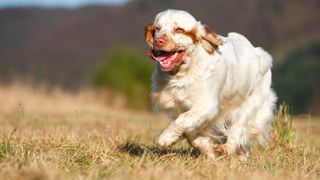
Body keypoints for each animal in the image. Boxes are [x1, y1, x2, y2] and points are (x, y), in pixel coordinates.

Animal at [144, 9, 276, 159]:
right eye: (157, 29)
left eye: (179, 29)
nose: (158, 41)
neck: (183, 73)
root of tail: (260, 53)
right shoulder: (184, 107)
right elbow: (190, 132)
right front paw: (207, 148)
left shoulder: (207, 105)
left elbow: (182, 120)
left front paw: (167, 137)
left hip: (250, 105)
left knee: (236, 131)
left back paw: (226, 149)